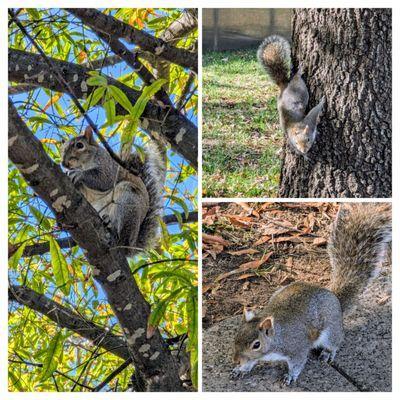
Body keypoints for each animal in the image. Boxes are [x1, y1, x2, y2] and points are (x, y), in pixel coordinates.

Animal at [59, 126, 166, 255]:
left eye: (80, 145)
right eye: (63, 149)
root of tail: (130, 247)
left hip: (128, 202)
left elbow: (103, 179)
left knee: (123, 237)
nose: (64, 163)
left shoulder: (108, 166)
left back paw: (113, 229)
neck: (84, 164)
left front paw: (78, 174)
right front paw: (68, 173)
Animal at [231, 205, 390, 386]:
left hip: (331, 331)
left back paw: (328, 353)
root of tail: (335, 299)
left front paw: (289, 376)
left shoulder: (296, 348)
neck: (275, 339)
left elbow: (297, 363)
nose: (235, 359)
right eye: (237, 335)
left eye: (256, 344)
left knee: (335, 343)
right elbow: (250, 362)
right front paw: (240, 369)